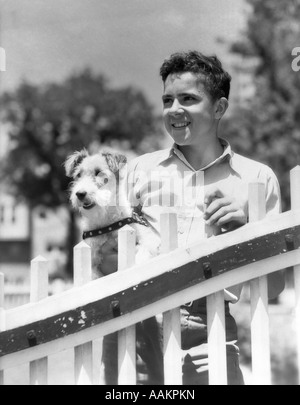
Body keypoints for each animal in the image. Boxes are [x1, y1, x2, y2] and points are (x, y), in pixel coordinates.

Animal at [64, 148, 159, 278]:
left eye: (99, 172)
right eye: (78, 175)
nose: (80, 194)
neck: (106, 223)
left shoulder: (149, 242)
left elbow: (142, 255)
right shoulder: (93, 264)